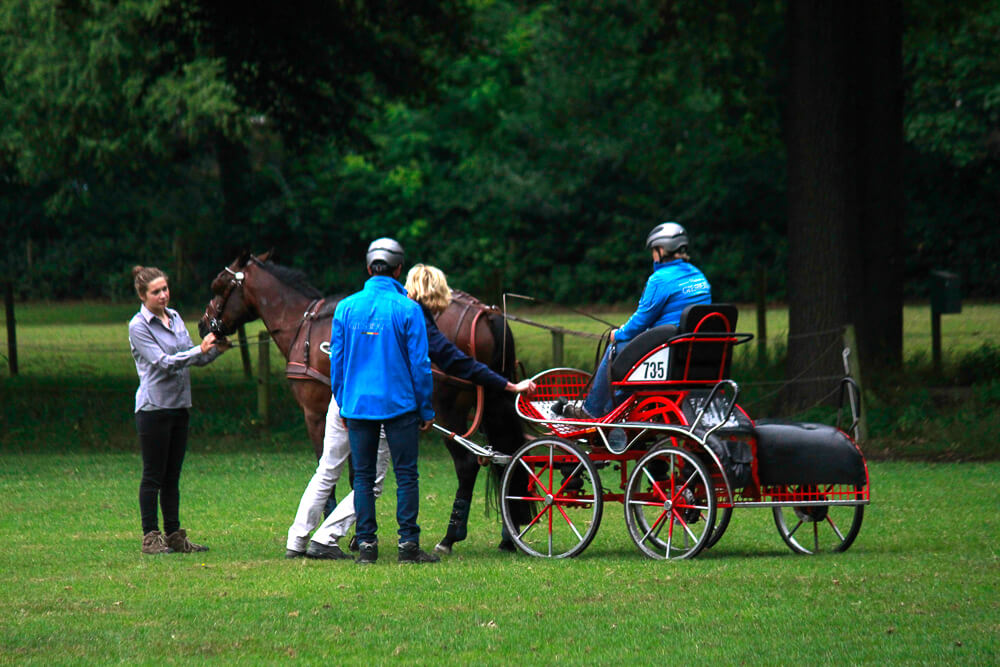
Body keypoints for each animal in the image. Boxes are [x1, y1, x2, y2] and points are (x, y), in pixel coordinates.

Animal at [200, 252, 536, 552]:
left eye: (219, 285)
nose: (204, 325)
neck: (303, 324)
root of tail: (487, 312)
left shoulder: (315, 414)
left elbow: (329, 472)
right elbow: (355, 474)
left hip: (449, 412)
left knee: (468, 465)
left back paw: (450, 537)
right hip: (491, 405)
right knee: (508, 456)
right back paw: (508, 537)